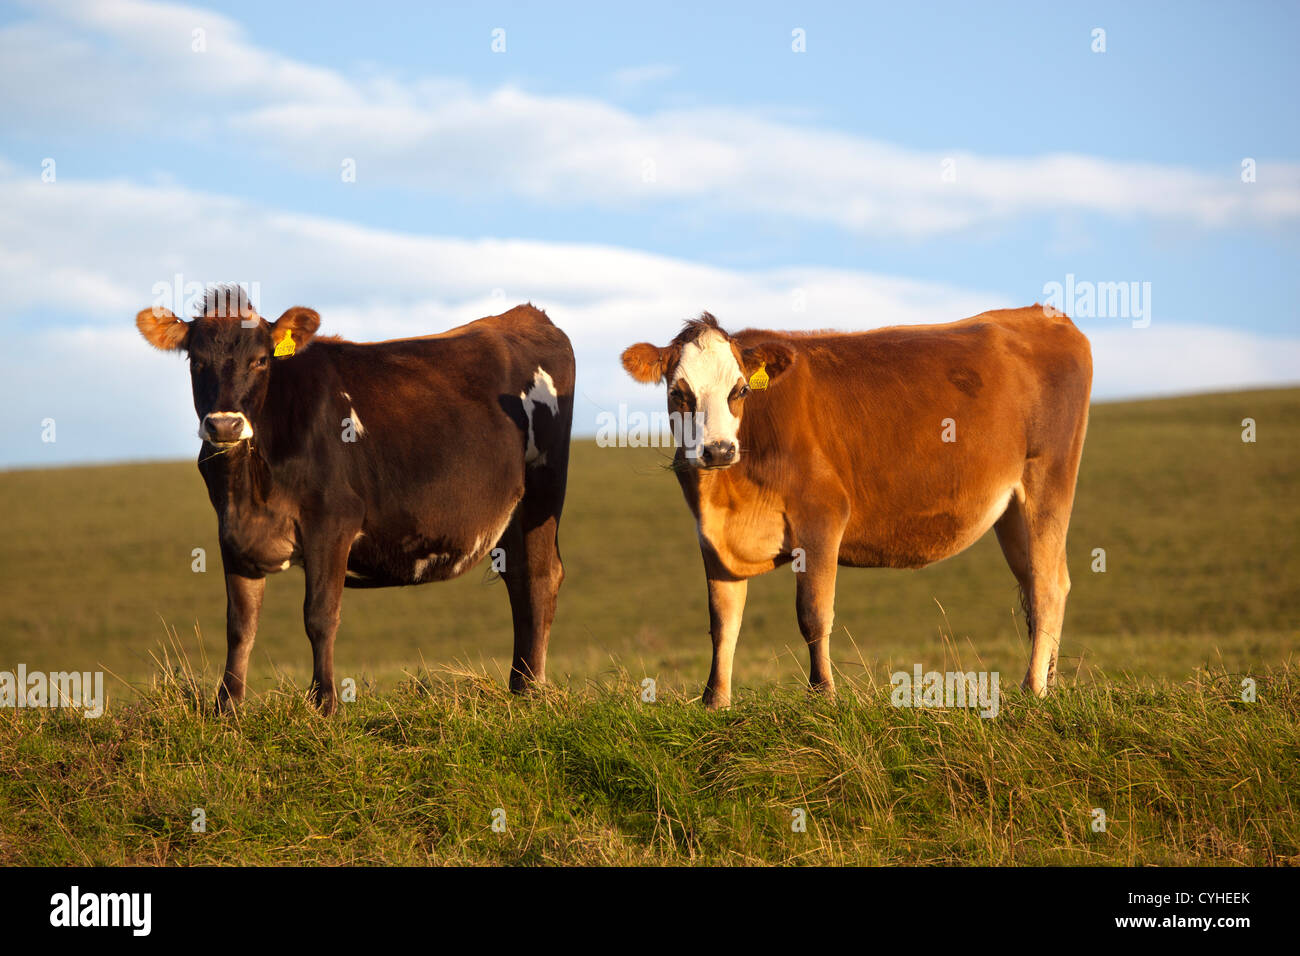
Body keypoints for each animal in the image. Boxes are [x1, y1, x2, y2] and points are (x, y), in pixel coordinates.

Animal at [135, 287, 574, 712]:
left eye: (260, 360)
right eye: (197, 361)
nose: (224, 424)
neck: (249, 482)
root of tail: (523, 315)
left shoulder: (332, 521)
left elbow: (320, 615)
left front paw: (324, 704)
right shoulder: (232, 529)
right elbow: (240, 623)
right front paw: (226, 707)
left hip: (543, 489)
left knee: (538, 577)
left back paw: (532, 690)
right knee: (518, 579)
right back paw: (518, 685)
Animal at [624, 306, 1092, 712]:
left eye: (739, 391)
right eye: (678, 393)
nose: (719, 450)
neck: (727, 493)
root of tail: (1039, 313)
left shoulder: (821, 516)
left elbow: (813, 614)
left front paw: (822, 696)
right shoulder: (712, 536)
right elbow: (723, 620)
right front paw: (714, 701)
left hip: (1047, 481)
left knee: (1048, 585)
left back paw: (1033, 689)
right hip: (1012, 512)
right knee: (1037, 582)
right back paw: (1049, 682)